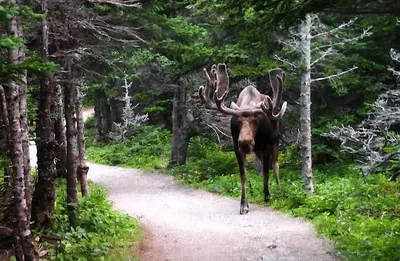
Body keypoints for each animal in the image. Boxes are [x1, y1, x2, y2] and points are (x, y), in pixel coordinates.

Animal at [198, 63, 286, 213]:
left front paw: (267, 196)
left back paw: (279, 191)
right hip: (258, 150)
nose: (245, 142)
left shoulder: (266, 145)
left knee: (275, 165)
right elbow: (243, 174)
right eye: (237, 121)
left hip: (274, 141)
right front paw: (244, 204)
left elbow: (266, 172)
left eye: (256, 120)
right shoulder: (236, 147)